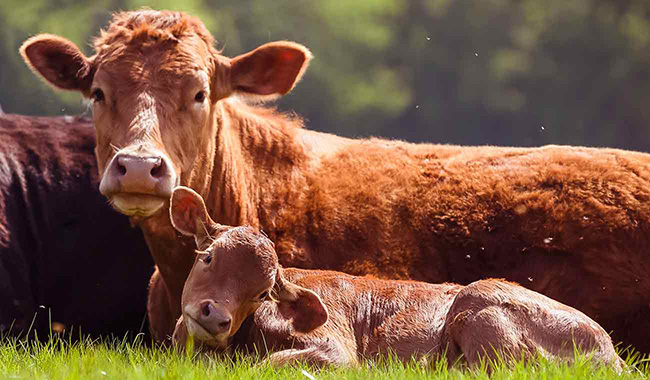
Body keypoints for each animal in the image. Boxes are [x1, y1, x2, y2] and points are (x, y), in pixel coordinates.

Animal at [168, 188, 624, 372]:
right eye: (207, 256)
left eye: (262, 293)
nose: (215, 316)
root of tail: (612, 352)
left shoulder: (336, 351)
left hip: (480, 302)